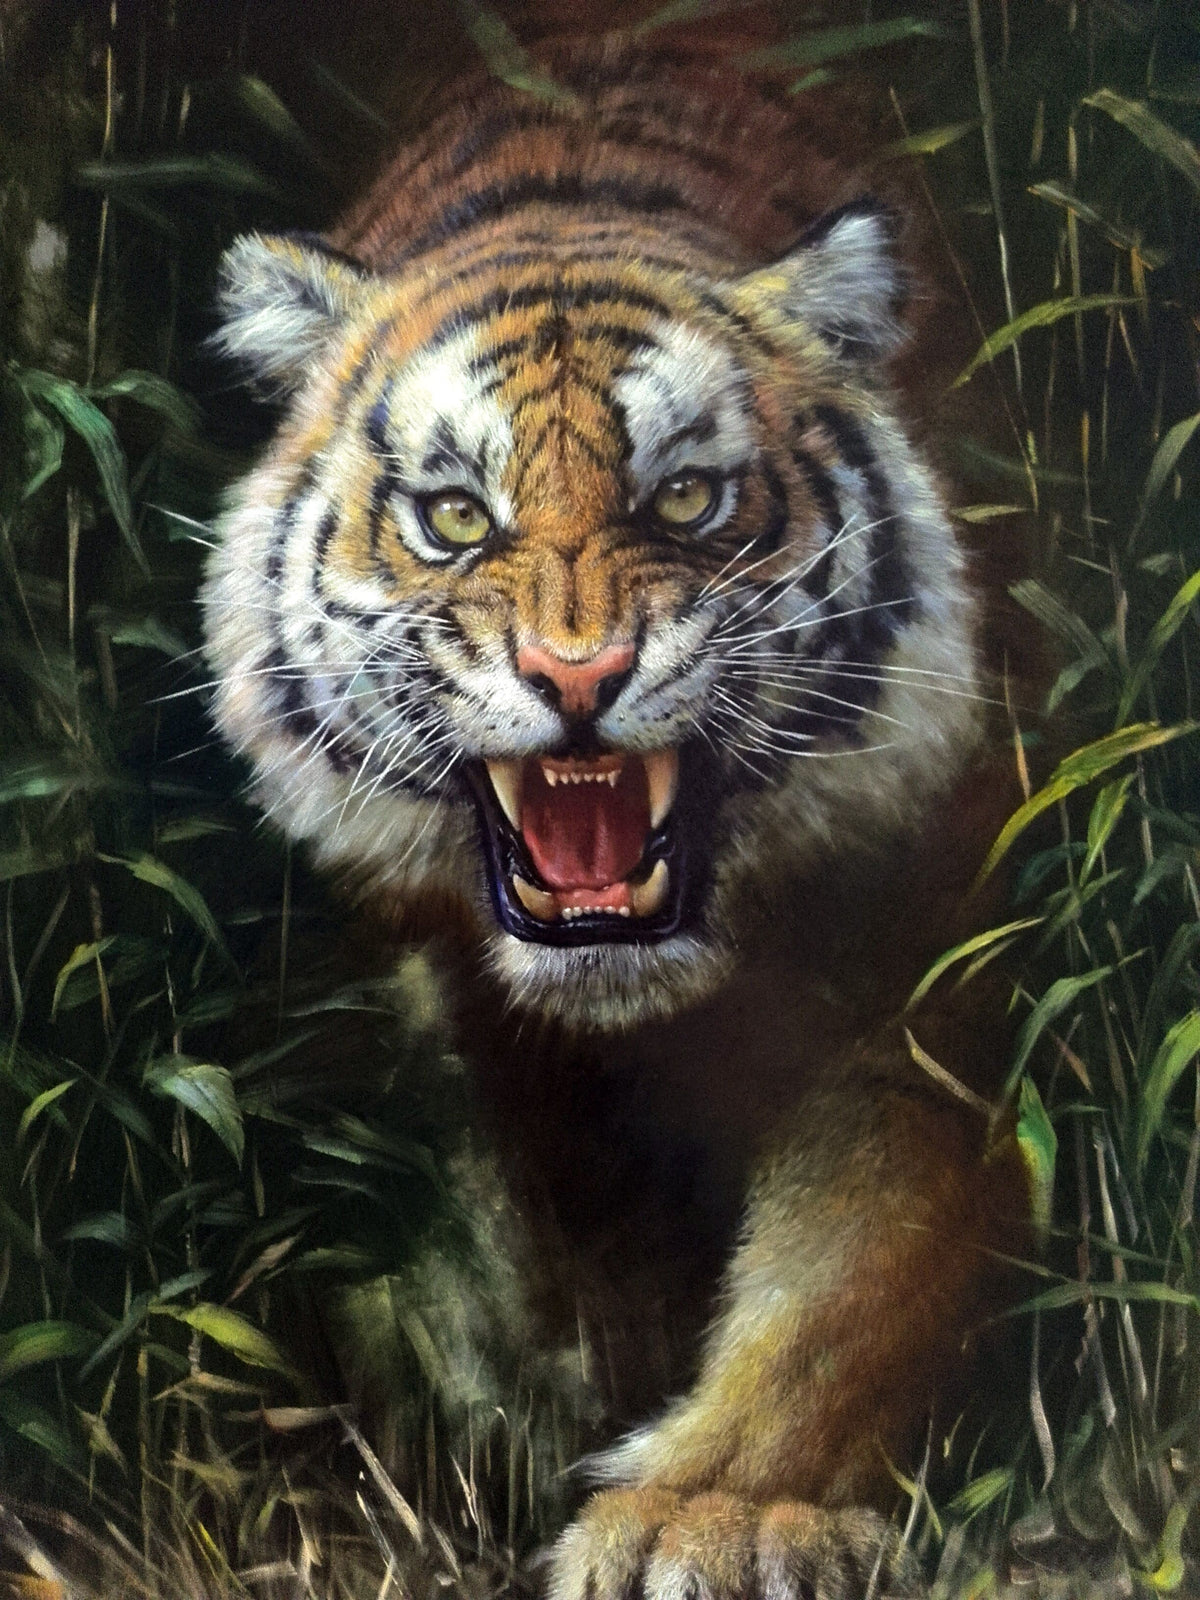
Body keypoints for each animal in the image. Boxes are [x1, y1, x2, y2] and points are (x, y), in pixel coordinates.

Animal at [202, 28, 1031, 1600]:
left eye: (689, 500)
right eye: (457, 517)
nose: (577, 673)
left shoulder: (922, 963)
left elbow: (856, 1270)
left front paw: (712, 1512)